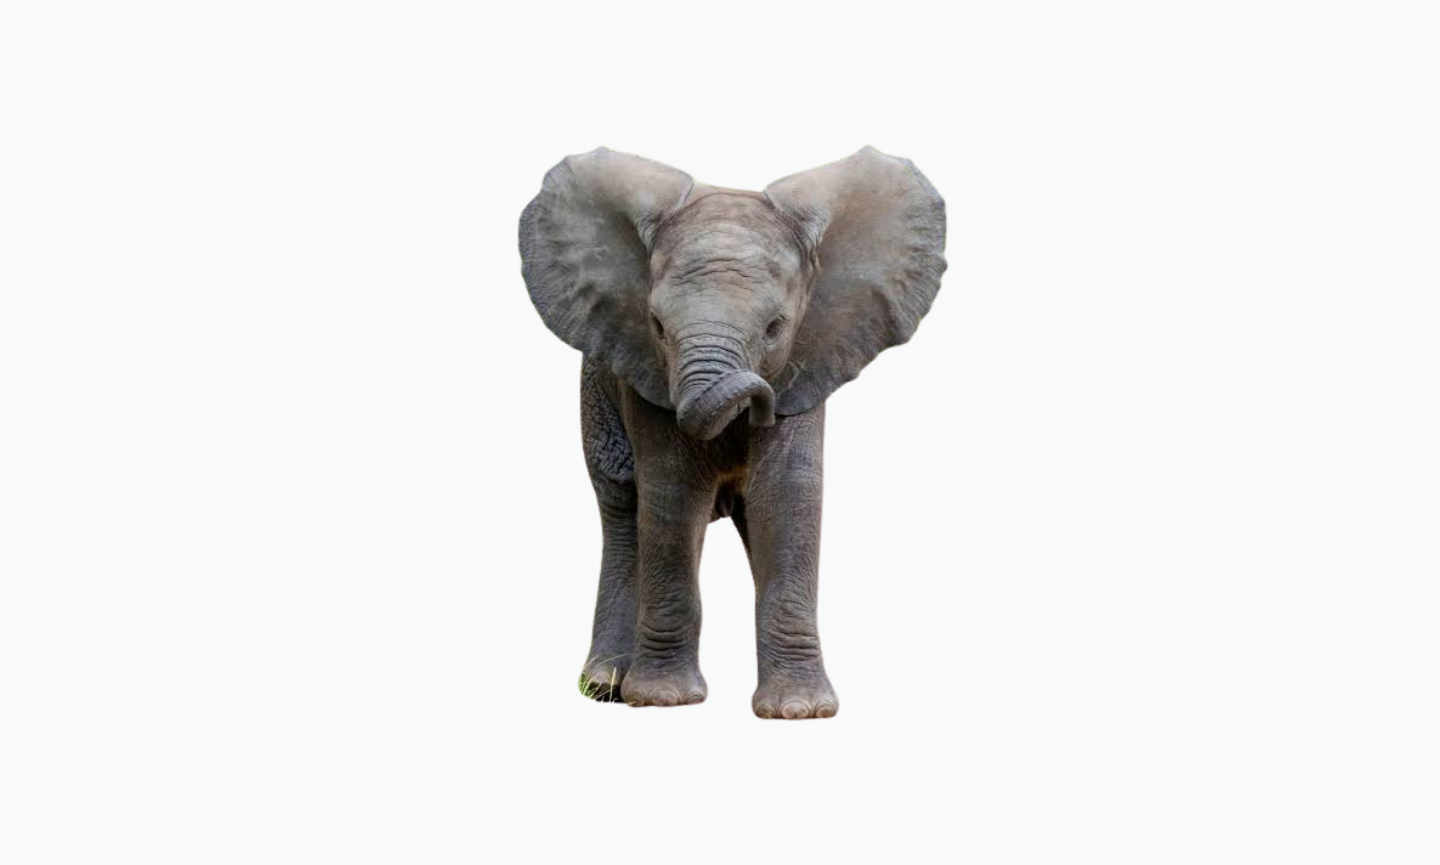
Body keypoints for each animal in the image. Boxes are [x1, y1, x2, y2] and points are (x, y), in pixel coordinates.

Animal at [518, 146, 947, 718]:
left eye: (775, 327)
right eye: (656, 325)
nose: (755, 401)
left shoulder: (809, 360)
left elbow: (785, 497)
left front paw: (799, 710)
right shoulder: (645, 375)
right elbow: (672, 496)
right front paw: (664, 700)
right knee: (623, 510)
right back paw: (605, 688)